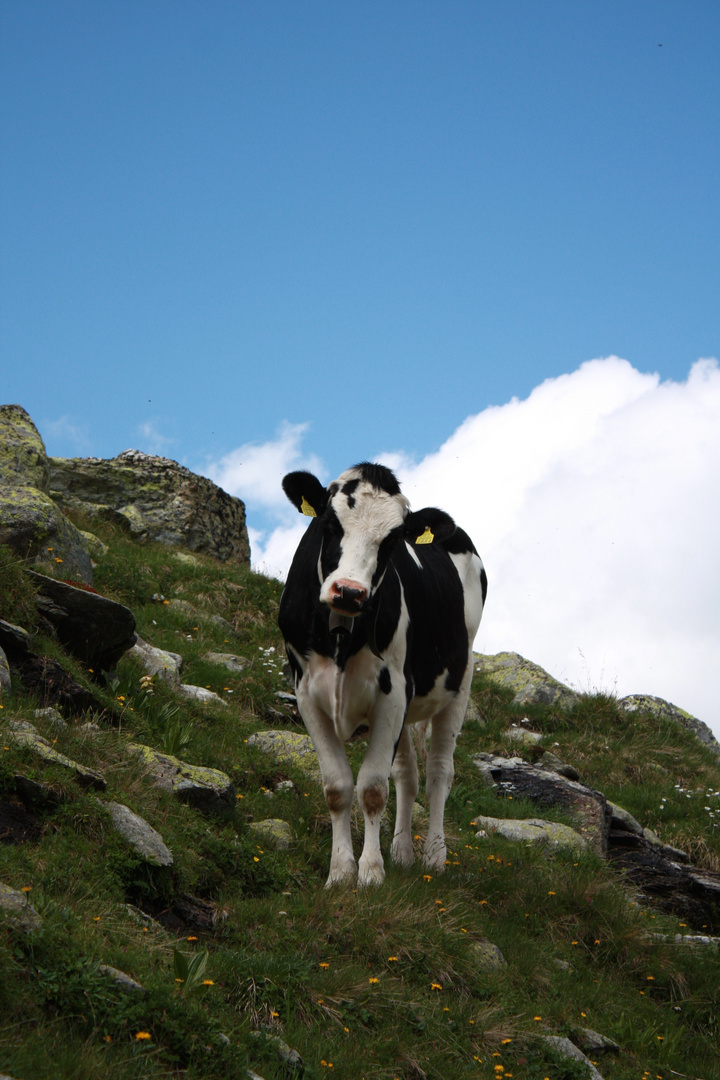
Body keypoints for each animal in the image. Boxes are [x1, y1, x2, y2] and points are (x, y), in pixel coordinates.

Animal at [278, 460, 487, 889]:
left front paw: (371, 873)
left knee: (439, 772)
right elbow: (338, 787)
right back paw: (402, 852)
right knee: (407, 774)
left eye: (392, 542)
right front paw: (340, 872)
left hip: (460, 681)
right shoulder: (306, 693)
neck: (340, 635)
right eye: (329, 524)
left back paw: (434, 857)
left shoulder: (392, 693)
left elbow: (372, 788)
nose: (349, 591)